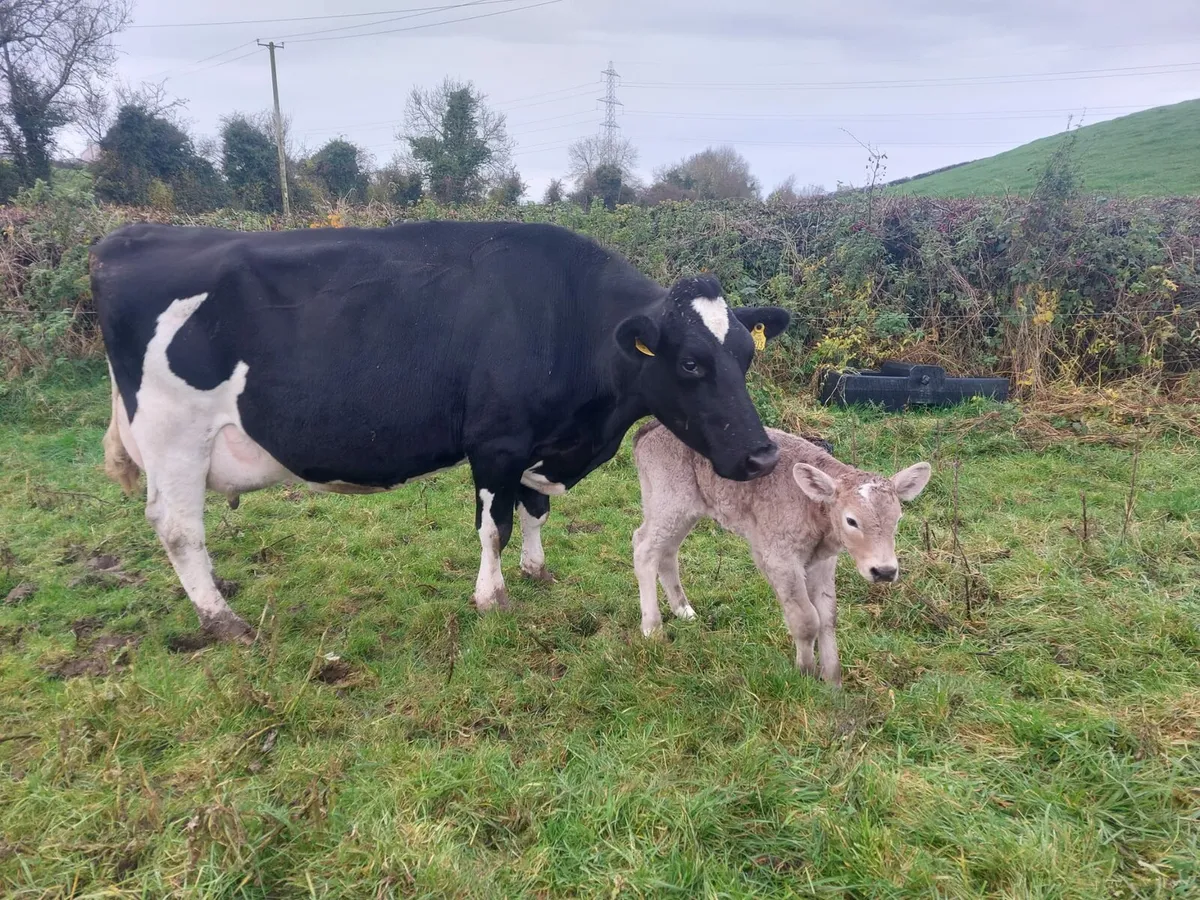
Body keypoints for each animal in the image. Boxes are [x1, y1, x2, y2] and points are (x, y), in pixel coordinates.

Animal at [90, 220, 792, 642]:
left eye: (746, 355)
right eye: (691, 363)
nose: (762, 457)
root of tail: (127, 239)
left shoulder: (539, 442)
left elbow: (533, 508)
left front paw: (537, 571)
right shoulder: (496, 441)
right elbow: (494, 523)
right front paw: (491, 597)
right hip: (176, 438)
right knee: (179, 528)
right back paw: (222, 617)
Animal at [630, 420, 931, 687]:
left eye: (898, 519)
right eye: (851, 520)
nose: (884, 571)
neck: (814, 512)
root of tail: (650, 428)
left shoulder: (823, 562)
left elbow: (828, 616)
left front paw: (833, 682)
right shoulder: (779, 557)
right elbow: (806, 618)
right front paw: (806, 673)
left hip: (682, 508)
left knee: (667, 551)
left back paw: (684, 610)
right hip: (670, 501)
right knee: (644, 547)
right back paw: (652, 629)